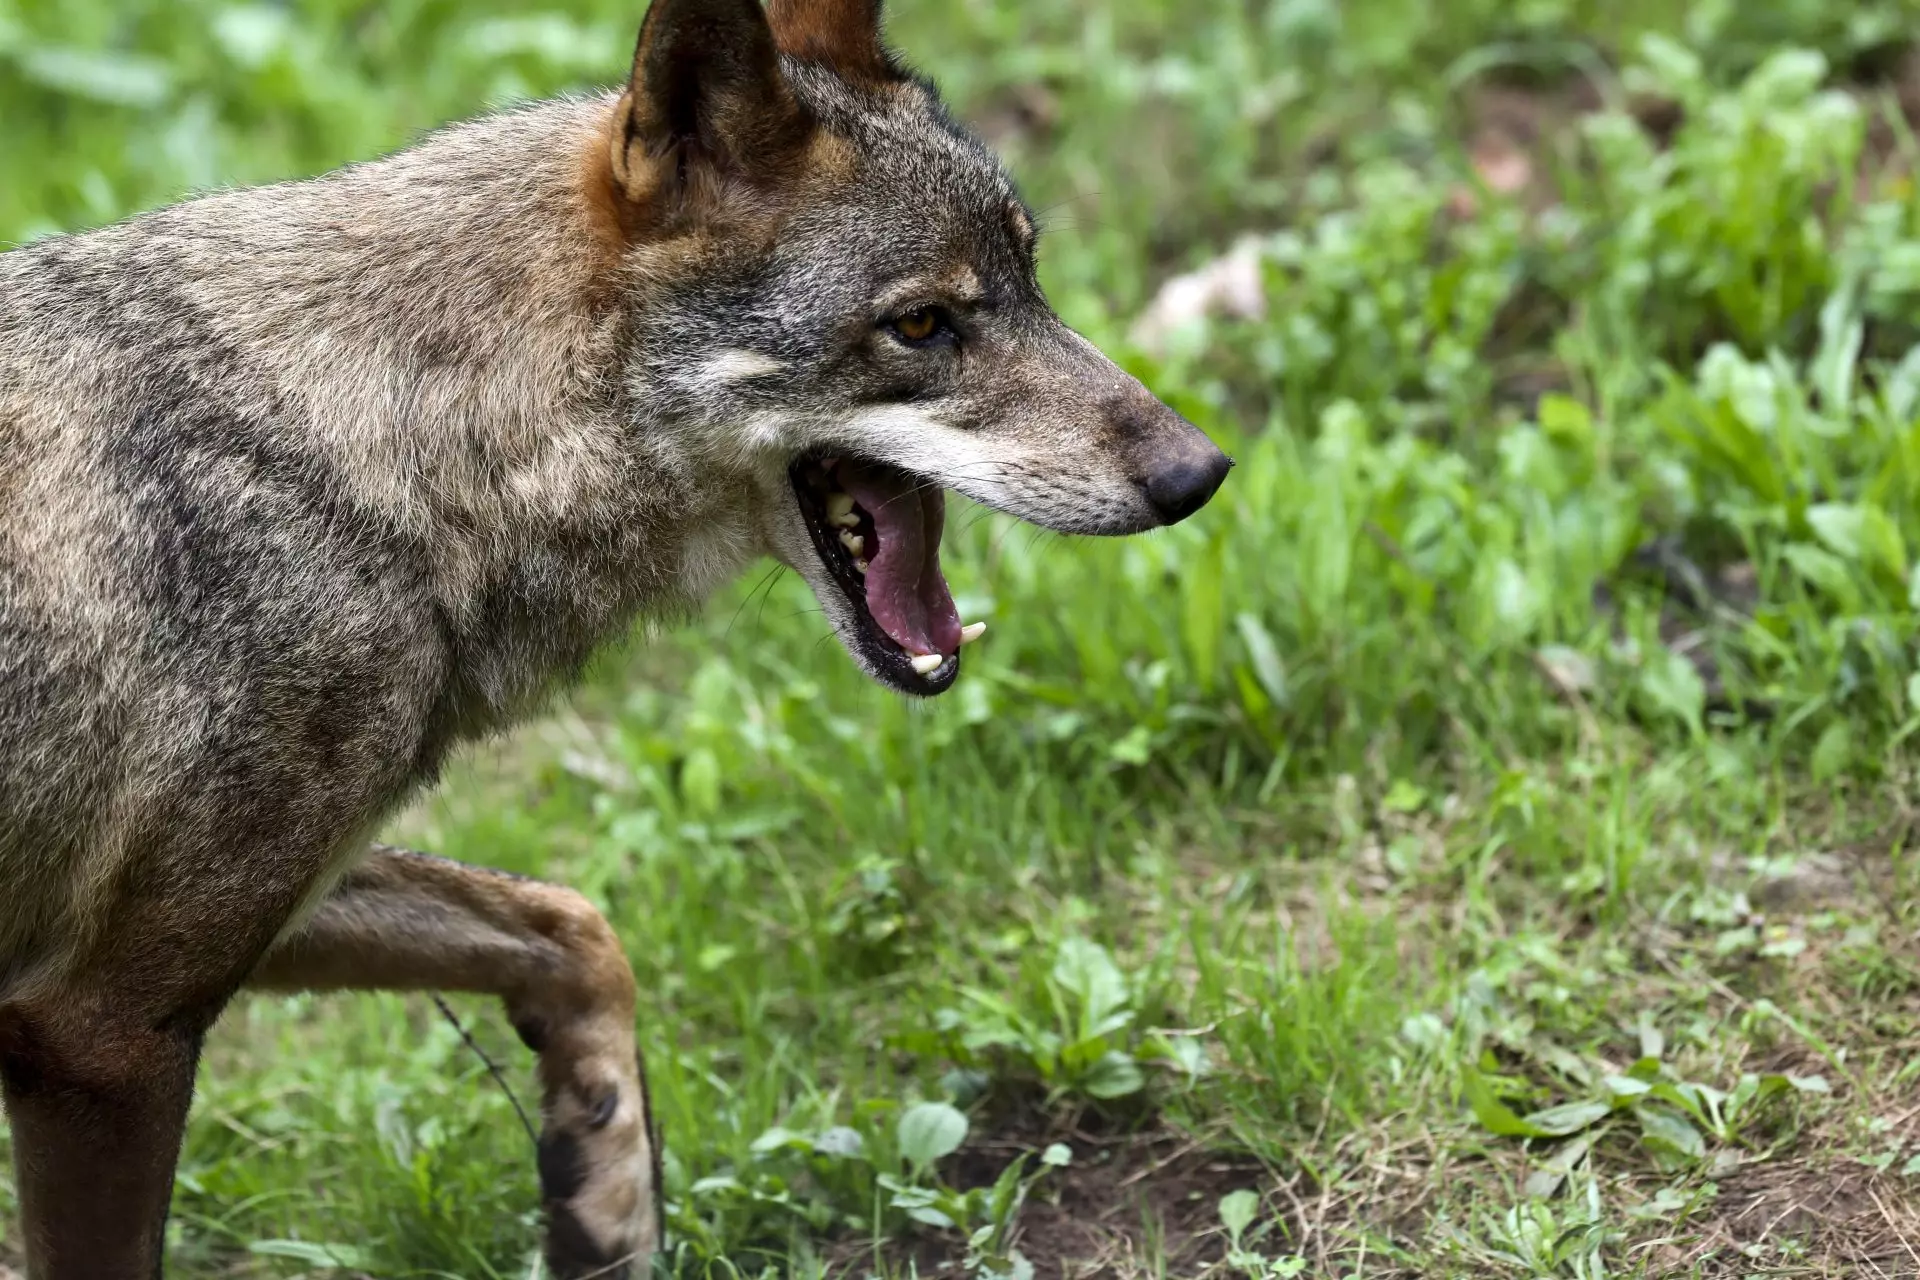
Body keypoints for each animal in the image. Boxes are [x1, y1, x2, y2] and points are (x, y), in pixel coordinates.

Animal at [0, 0, 1230, 1273]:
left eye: (1032, 277)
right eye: (922, 324)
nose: (1199, 472)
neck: (392, 452)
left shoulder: (188, 935)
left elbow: (573, 923)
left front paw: (603, 1188)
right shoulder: (101, 1025)